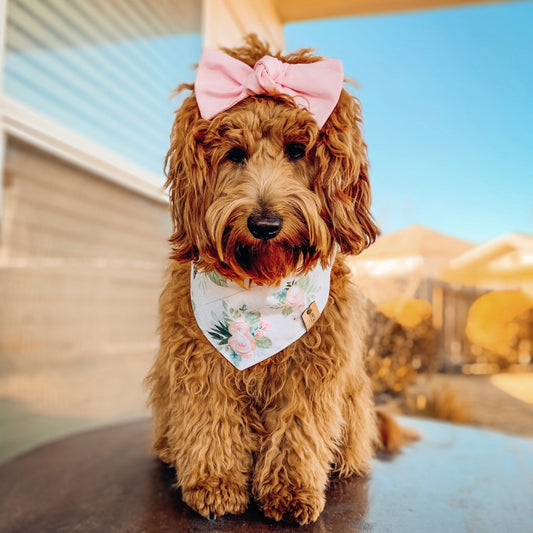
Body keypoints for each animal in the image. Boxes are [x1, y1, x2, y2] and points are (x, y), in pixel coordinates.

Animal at [145, 36, 400, 524]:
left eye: (298, 150)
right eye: (235, 153)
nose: (264, 224)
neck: (263, 283)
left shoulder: (314, 367)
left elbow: (299, 429)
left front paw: (290, 490)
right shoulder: (201, 361)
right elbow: (212, 416)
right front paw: (215, 484)